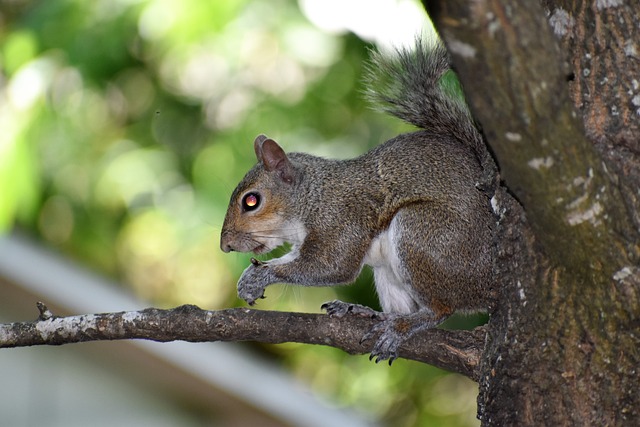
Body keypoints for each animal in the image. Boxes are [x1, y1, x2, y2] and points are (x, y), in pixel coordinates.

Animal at [222, 39, 498, 364]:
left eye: (251, 201)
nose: (225, 245)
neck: (313, 196)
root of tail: (490, 283)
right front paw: (249, 276)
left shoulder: (341, 220)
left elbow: (331, 265)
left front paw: (264, 275)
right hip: (389, 269)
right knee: (402, 306)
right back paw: (368, 313)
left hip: (423, 235)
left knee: (440, 309)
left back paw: (401, 326)